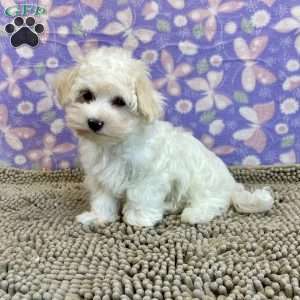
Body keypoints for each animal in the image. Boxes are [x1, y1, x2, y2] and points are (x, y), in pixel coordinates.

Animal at [54, 46, 274, 225]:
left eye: (119, 102)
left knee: (213, 203)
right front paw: (99, 217)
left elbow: (141, 195)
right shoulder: (100, 177)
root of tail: (232, 186)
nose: (94, 122)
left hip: (203, 181)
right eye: (86, 95)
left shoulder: (150, 175)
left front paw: (139, 218)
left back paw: (195, 213)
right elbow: (103, 199)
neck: (116, 142)